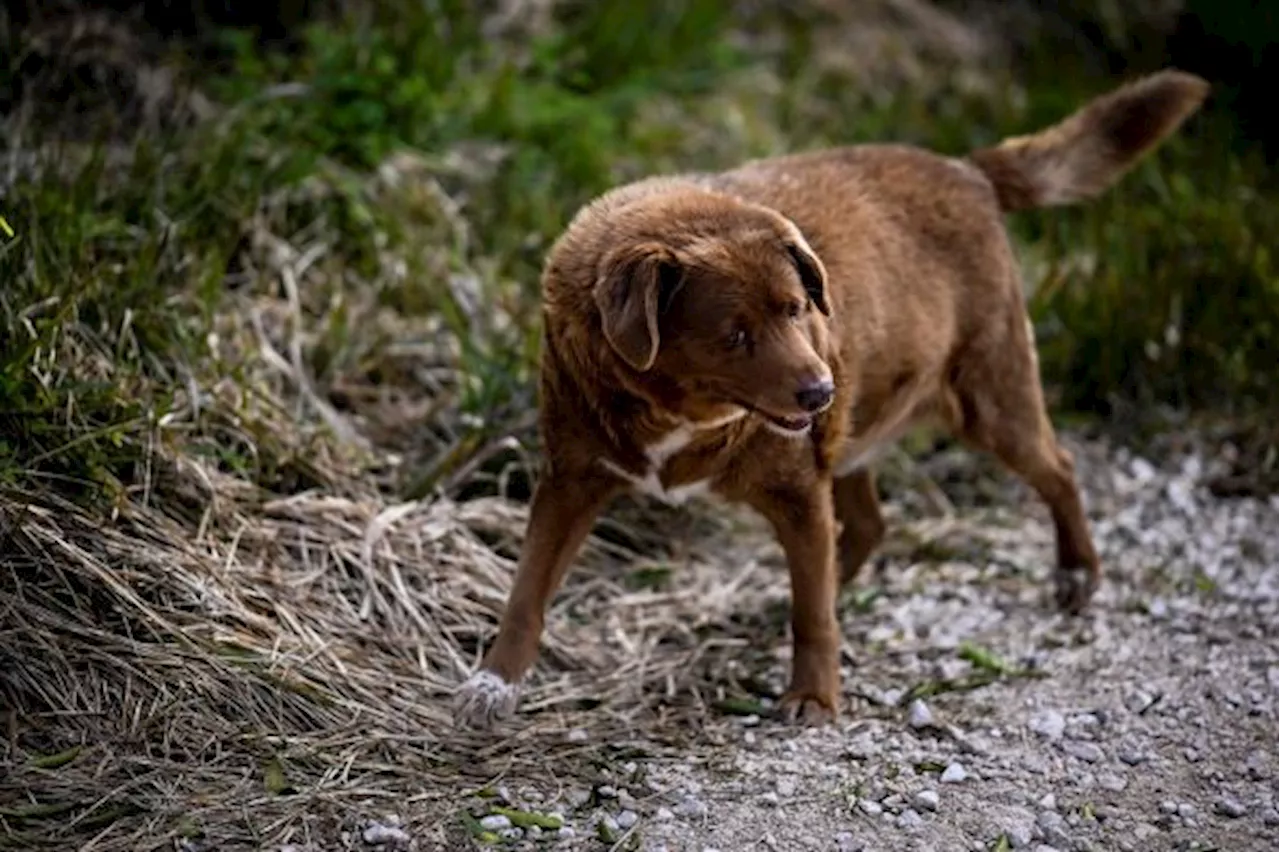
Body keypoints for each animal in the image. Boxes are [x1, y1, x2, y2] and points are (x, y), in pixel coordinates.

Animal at [453, 69, 1208, 726]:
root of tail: (967, 170)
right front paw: (494, 680)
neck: (680, 413)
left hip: (987, 398)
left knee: (1057, 468)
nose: (820, 390)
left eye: (796, 309)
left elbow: (811, 613)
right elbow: (527, 588)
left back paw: (1077, 573)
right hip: (855, 432)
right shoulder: (571, 478)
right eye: (734, 334)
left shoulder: (796, 488)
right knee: (867, 526)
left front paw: (814, 696)